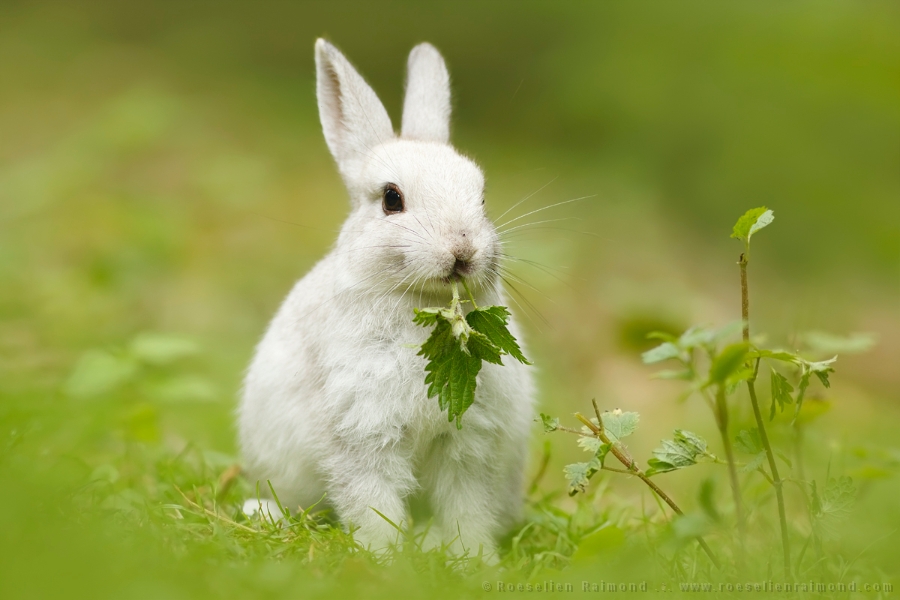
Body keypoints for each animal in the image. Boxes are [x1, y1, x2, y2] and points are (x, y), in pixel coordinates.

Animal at [238, 38, 536, 558]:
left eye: (481, 197)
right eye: (391, 199)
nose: (462, 249)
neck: (423, 308)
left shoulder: (468, 442)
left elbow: (467, 509)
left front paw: (473, 560)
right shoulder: (361, 432)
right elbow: (372, 502)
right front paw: (385, 557)